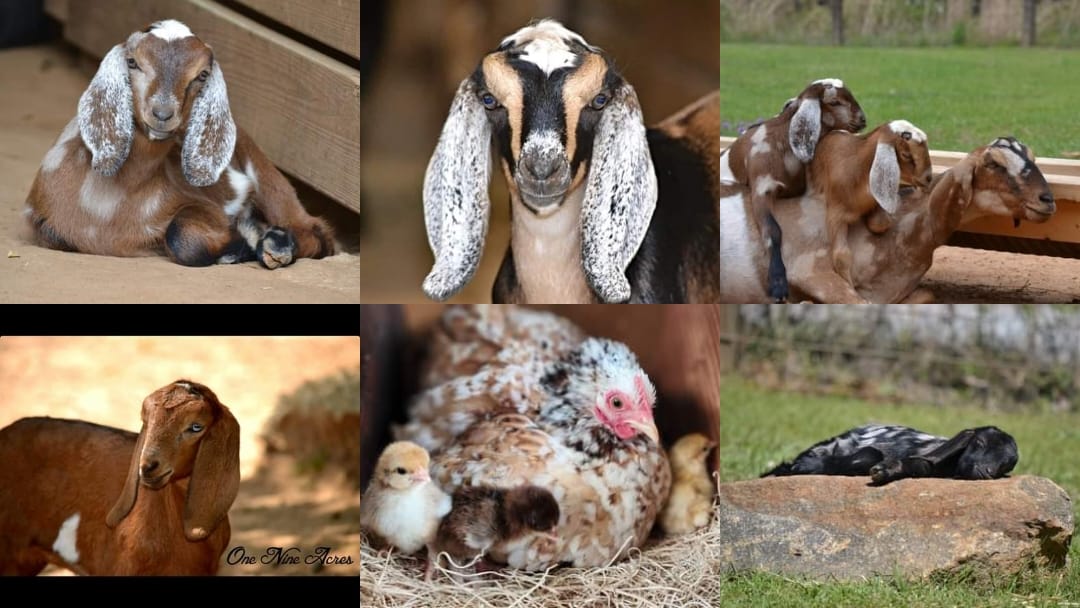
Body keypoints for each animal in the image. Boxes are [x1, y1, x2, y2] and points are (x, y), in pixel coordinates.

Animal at [24, 19, 334, 269]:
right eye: (133, 62)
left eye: (202, 74)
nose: (162, 114)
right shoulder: (41, 221)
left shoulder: (204, 206)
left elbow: (181, 236)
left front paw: (240, 244)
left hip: (267, 178)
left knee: (315, 231)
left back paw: (275, 246)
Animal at [809, 120, 933, 284]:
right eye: (906, 154)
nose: (928, 178)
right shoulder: (835, 213)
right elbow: (842, 256)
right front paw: (850, 285)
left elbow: (880, 223)